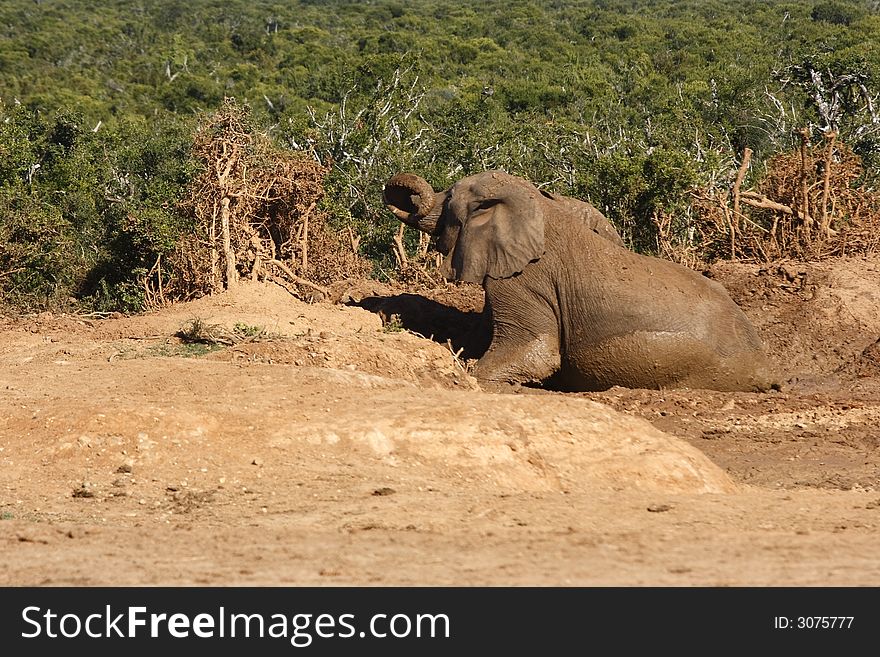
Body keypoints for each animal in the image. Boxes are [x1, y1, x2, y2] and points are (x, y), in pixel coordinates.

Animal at [384, 170, 776, 394]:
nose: (404, 194)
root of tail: (767, 370)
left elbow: (537, 353)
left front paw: (467, 373)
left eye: (450, 199)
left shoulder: (525, 280)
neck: (540, 204)